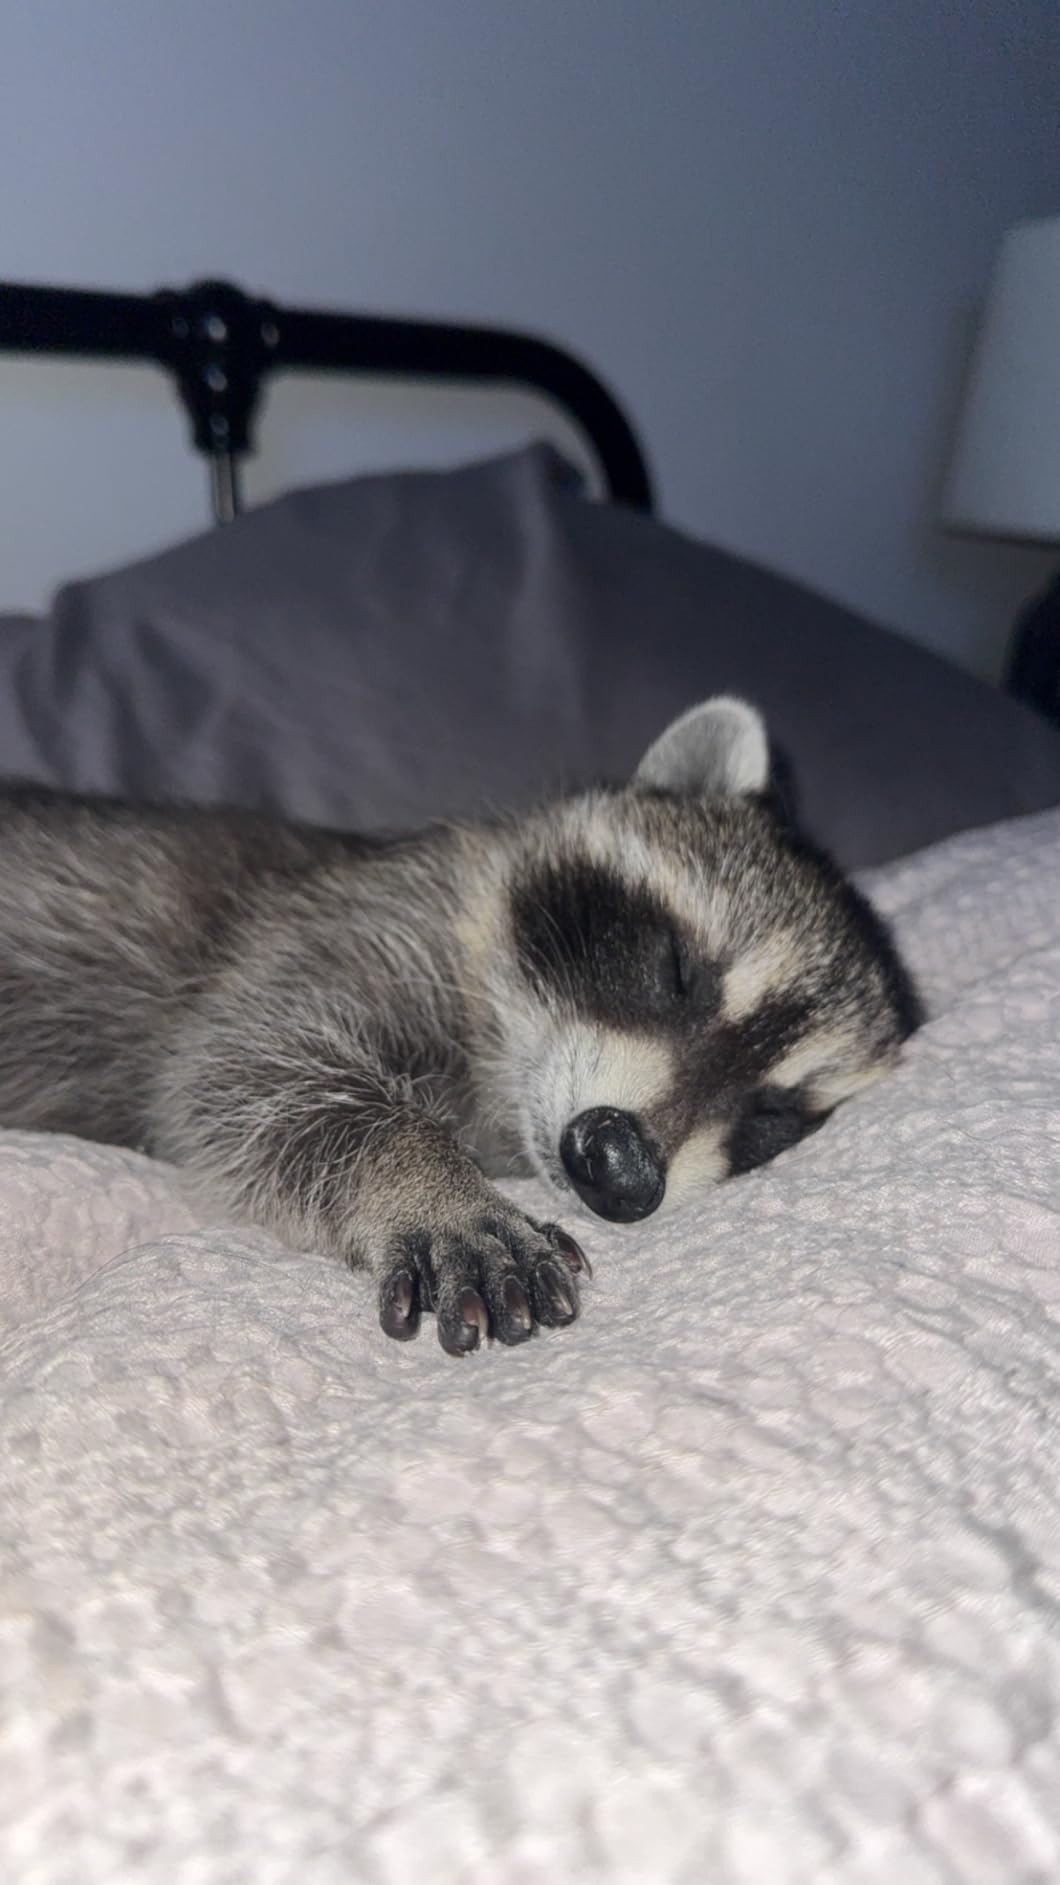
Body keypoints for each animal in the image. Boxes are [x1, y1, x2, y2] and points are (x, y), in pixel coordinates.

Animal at [0, 697, 920, 1355]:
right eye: (676, 969)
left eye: (774, 1115)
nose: (622, 1168)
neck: (502, 1056)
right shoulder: (337, 924)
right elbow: (245, 1061)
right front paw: (420, 1175)